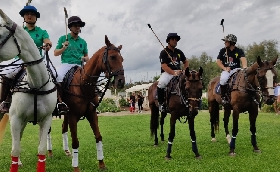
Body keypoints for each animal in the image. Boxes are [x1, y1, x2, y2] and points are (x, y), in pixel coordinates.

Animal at [0, 9, 56, 172]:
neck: (36, 84)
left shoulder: (46, 119)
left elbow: (41, 150)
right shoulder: (15, 118)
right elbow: (15, 150)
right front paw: (15, 162)